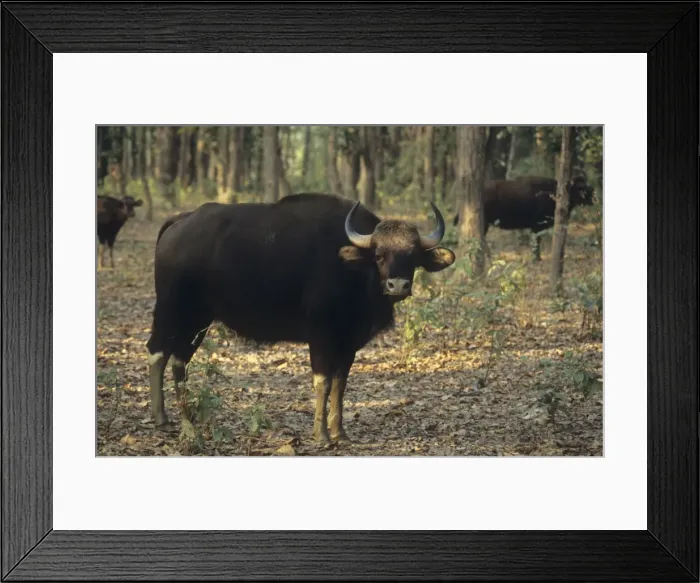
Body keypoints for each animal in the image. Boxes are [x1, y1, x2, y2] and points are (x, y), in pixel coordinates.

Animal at [146, 193, 455, 443]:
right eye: (379, 255)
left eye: (412, 256)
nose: (397, 285)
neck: (354, 273)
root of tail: (180, 221)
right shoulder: (320, 335)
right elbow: (323, 381)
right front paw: (321, 435)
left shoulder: (349, 341)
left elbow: (340, 384)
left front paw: (339, 433)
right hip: (172, 310)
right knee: (158, 352)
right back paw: (164, 419)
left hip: (199, 319)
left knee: (180, 360)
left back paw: (186, 418)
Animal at [453, 175, 595, 259]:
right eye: (579, 187)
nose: (592, 194)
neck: (554, 193)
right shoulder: (537, 226)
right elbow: (536, 242)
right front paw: (536, 258)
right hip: (485, 223)